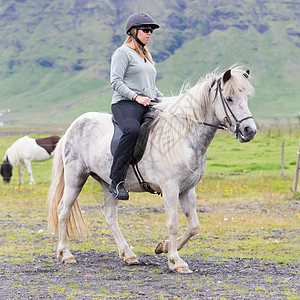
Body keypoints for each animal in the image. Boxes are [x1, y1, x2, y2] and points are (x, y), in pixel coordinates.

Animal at [48, 67, 256, 274]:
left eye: (246, 97)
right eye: (229, 98)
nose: (249, 130)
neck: (182, 135)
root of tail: (71, 128)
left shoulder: (187, 190)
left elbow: (194, 226)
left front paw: (163, 247)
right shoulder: (170, 189)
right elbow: (173, 224)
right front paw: (176, 261)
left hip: (108, 184)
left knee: (110, 217)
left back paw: (128, 255)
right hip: (75, 178)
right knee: (63, 211)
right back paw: (66, 254)